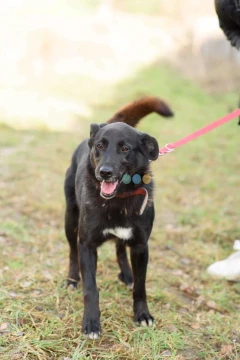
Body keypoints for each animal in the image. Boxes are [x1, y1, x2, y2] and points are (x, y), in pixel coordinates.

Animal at [63, 95, 172, 338]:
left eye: (124, 148)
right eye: (100, 146)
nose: (104, 172)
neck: (118, 198)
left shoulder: (141, 245)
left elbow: (141, 286)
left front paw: (142, 314)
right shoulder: (87, 244)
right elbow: (91, 288)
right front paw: (91, 323)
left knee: (120, 248)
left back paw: (127, 274)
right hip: (70, 220)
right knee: (72, 251)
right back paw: (72, 279)